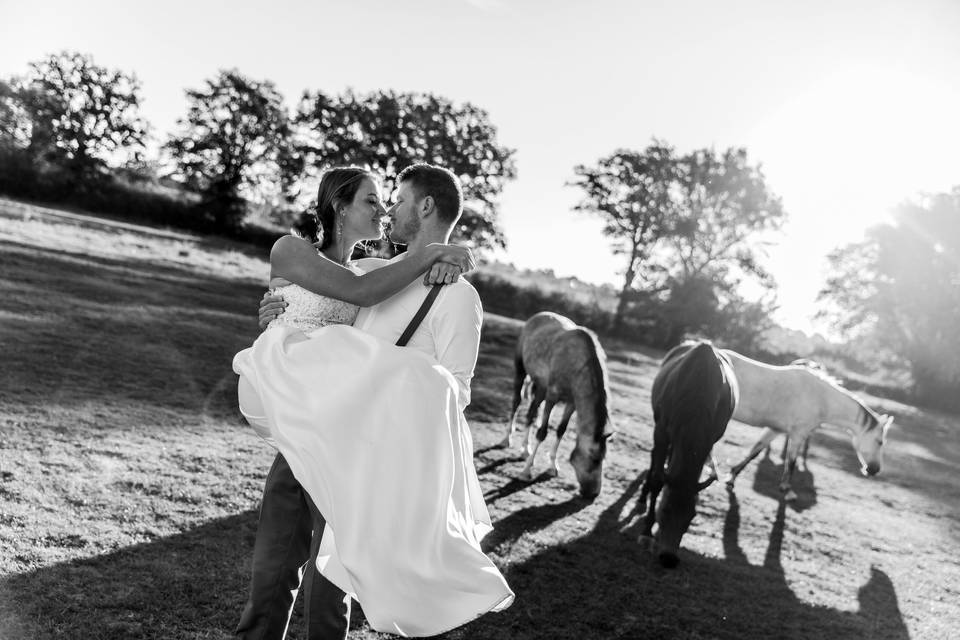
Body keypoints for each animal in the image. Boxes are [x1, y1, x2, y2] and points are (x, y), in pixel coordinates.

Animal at [498, 312, 612, 498]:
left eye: (603, 459)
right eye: (595, 460)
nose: (594, 493)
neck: (577, 366)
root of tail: (536, 316)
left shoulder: (571, 403)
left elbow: (561, 430)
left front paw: (552, 466)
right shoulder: (552, 397)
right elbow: (542, 432)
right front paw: (526, 471)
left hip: (540, 387)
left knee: (531, 413)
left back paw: (525, 449)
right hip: (521, 371)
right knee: (516, 402)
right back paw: (507, 439)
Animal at [640, 342, 740, 568]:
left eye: (692, 516)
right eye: (664, 510)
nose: (669, 558)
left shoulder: (709, 439)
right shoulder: (661, 429)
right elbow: (659, 477)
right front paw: (647, 529)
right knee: (655, 458)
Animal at [724, 348, 896, 502]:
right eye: (880, 442)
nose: (874, 470)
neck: (821, 398)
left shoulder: (775, 430)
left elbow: (754, 452)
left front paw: (731, 478)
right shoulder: (798, 434)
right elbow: (791, 463)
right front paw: (787, 490)